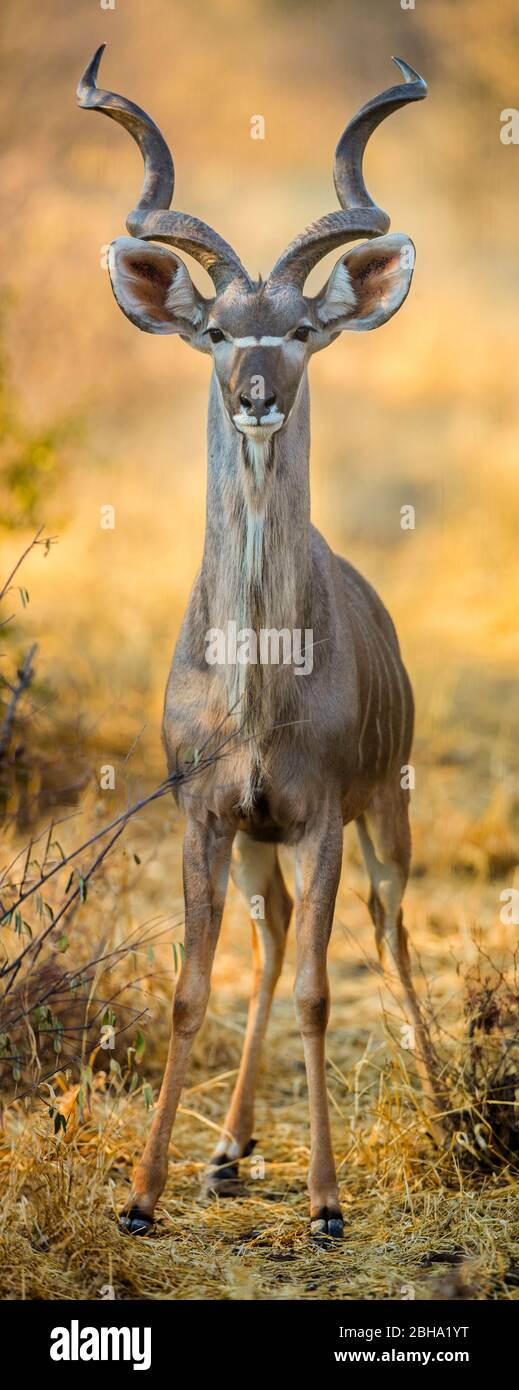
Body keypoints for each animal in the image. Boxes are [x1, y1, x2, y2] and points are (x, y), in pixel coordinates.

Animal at [77, 46, 439, 1239]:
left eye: (301, 329)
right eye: (220, 329)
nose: (256, 397)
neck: (256, 689)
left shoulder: (321, 811)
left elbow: (327, 992)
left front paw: (326, 1203)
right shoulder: (210, 811)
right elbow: (197, 987)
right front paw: (144, 1195)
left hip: (387, 815)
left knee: (387, 928)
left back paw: (439, 1102)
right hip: (257, 842)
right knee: (272, 930)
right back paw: (230, 1150)